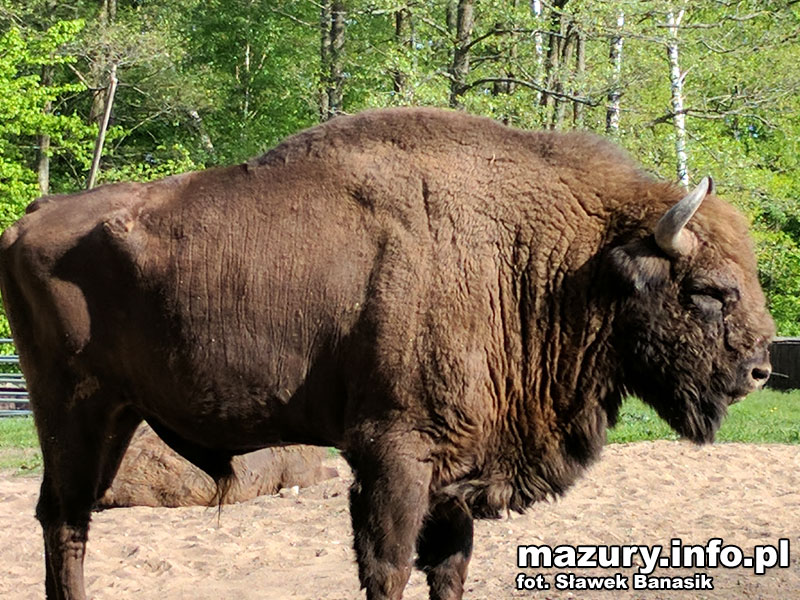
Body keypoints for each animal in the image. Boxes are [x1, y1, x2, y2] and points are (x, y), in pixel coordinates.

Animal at [0, 108, 776, 600]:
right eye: (708, 291)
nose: (761, 369)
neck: (545, 261)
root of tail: (32, 217)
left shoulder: (455, 471)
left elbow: (449, 568)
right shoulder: (393, 453)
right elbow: (389, 567)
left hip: (116, 415)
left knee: (66, 517)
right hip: (74, 412)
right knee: (65, 521)